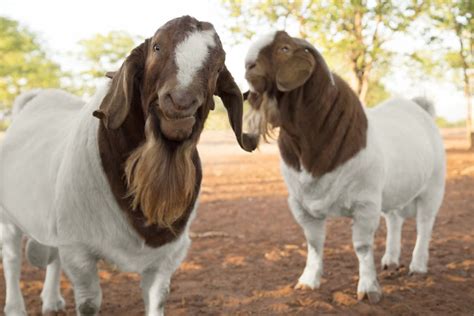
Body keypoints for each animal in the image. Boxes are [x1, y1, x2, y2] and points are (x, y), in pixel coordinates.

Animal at [0, 16, 258, 316]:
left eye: (218, 65)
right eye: (157, 47)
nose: (181, 102)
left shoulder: (167, 257)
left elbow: (157, 299)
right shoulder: (79, 249)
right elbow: (88, 303)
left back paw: (52, 301)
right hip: (8, 217)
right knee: (12, 258)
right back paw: (15, 307)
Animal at [243, 31, 446, 304]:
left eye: (284, 48)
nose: (248, 65)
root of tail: (419, 107)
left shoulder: (365, 203)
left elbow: (362, 246)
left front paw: (369, 289)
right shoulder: (300, 204)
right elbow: (314, 243)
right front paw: (308, 282)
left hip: (433, 187)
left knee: (425, 224)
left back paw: (418, 266)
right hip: (393, 190)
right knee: (394, 219)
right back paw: (391, 261)